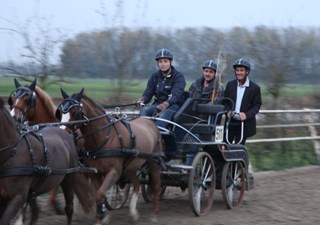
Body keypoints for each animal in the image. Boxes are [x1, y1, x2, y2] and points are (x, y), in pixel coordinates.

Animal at [55, 89, 164, 224]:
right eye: (60, 113)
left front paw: (101, 217)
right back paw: (133, 213)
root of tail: (151, 122)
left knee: (156, 185)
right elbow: (99, 195)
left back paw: (154, 214)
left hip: (153, 162)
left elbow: (100, 194)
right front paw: (101, 217)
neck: (105, 138)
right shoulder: (95, 174)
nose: (62, 133)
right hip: (130, 168)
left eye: (75, 112)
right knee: (137, 184)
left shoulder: (114, 172)